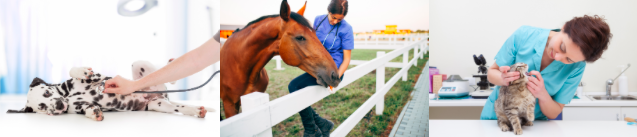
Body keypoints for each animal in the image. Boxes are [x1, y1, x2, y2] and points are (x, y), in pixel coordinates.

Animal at [6, 58, 214, 121]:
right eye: (41, 107)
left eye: (48, 93)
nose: (58, 106)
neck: (68, 96)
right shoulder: (81, 106)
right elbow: (89, 109)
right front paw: (94, 113)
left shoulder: (98, 78)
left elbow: (76, 71)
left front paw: (82, 71)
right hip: (160, 105)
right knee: (182, 108)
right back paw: (198, 110)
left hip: (141, 65)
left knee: (164, 72)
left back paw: (171, 64)